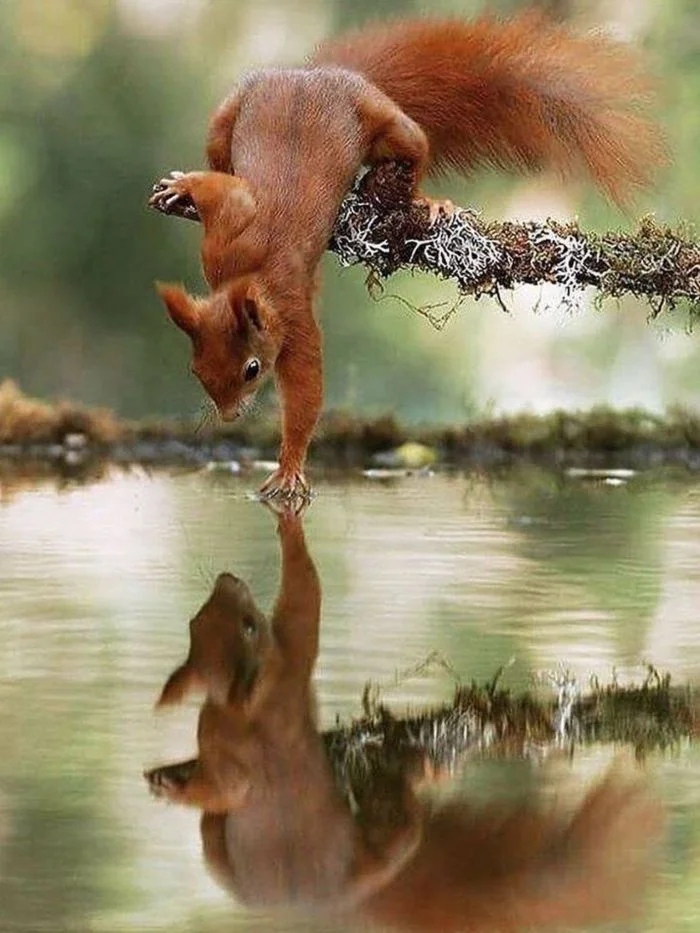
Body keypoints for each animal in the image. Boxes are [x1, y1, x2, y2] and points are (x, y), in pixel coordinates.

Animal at [146, 506, 660, 928]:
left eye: (240, 623)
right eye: (204, 623)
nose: (227, 579)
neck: (239, 710)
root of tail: (344, 904)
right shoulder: (288, 673)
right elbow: (304, 601)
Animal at [152, 12, 668, 496]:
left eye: (252, 369)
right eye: (195, 368)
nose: (228, 416)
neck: (247, 276)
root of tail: (319, 73)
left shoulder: (291, 316)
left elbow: (305, 393)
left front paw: (290, 468)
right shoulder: (223, 242)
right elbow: (224, 191)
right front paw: (183, 186)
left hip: (384, 121)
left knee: (413, 148)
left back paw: (426, 201)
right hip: (229, 114)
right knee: (220, 153)